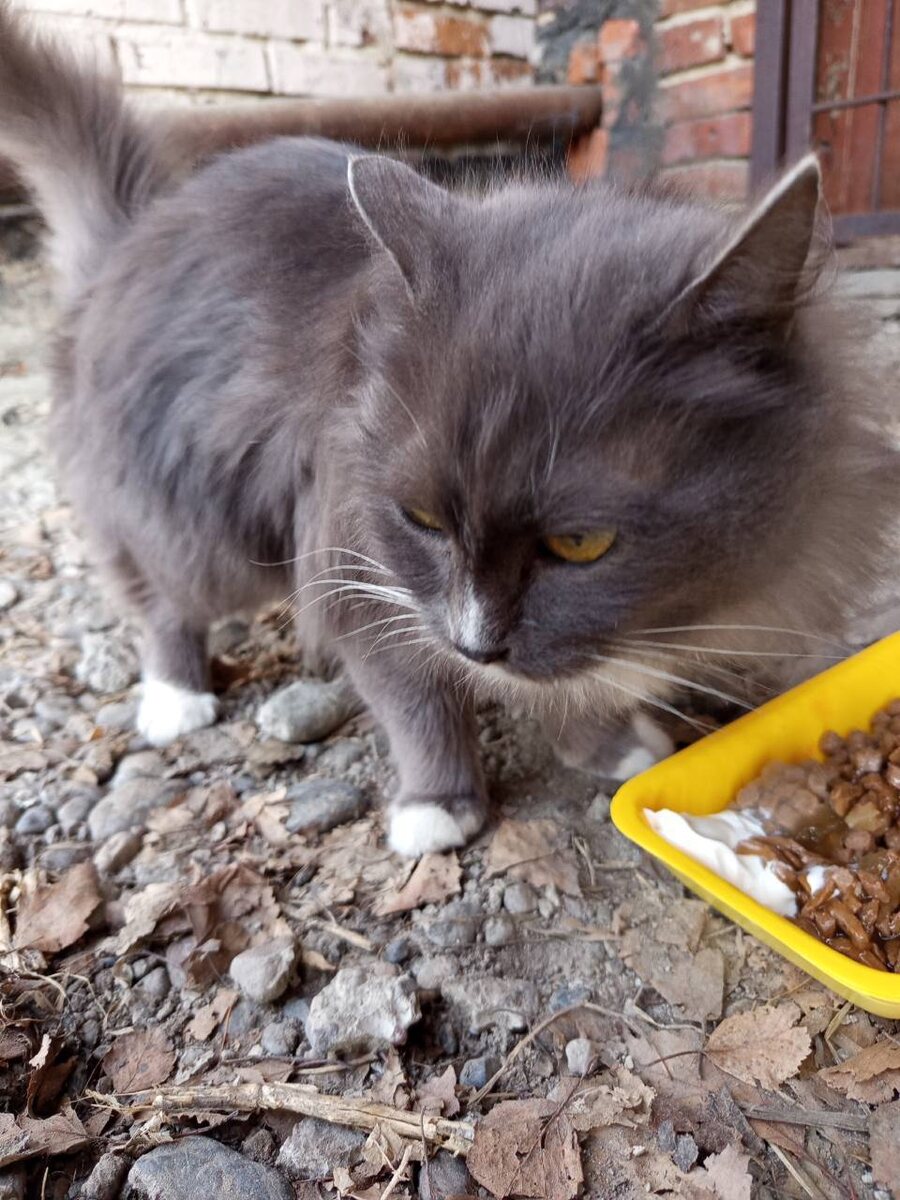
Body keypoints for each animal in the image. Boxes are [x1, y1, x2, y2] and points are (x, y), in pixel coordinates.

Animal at [2, 1, 898, 858]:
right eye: (422, 519)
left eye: (581, 545)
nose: (477, 648)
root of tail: (133, 232)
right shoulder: (361, 566)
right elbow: (415, 702)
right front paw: (438, 807)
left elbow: (567, 676)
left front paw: (607, 745)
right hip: (194, 512)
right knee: (161, 596)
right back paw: (175, 699)